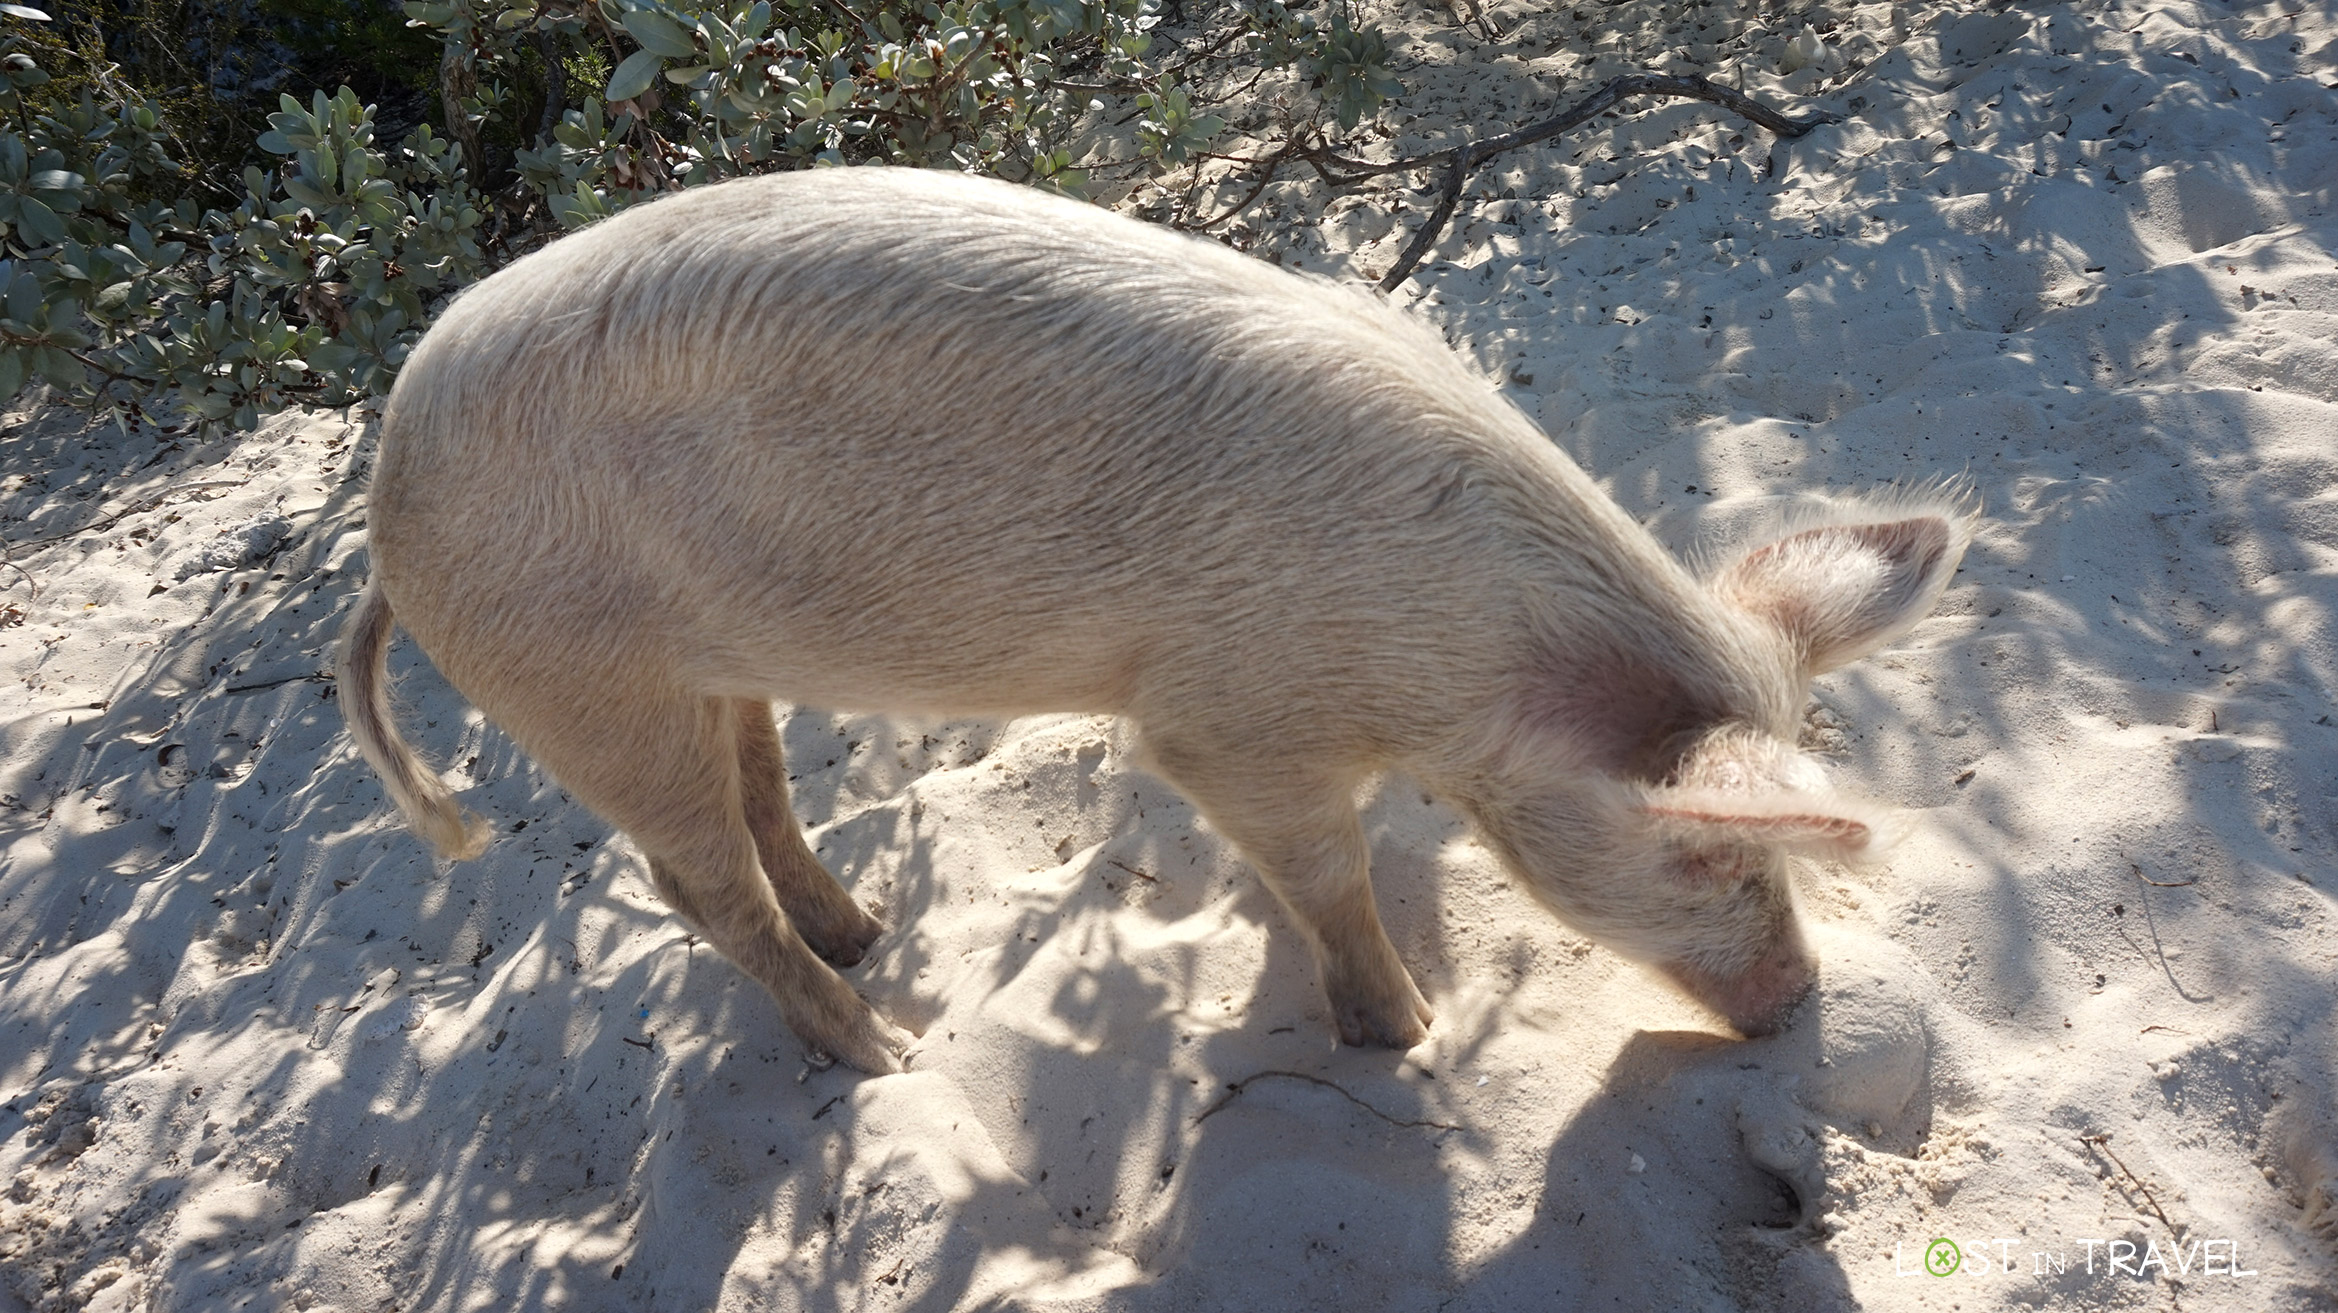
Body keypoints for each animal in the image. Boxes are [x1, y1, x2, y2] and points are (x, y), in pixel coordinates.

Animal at [339, 166, 1970, 1075]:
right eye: (1706, 853)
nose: (1798, 1002)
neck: (1458, 658)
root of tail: (382, 515)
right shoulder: (1224, 716)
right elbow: (1325, 871)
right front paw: (1409, 1039)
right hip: (578, 680)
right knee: (692, 880)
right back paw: (890, 1047)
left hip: (703, 664)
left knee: (756, 795)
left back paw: (867, 937)